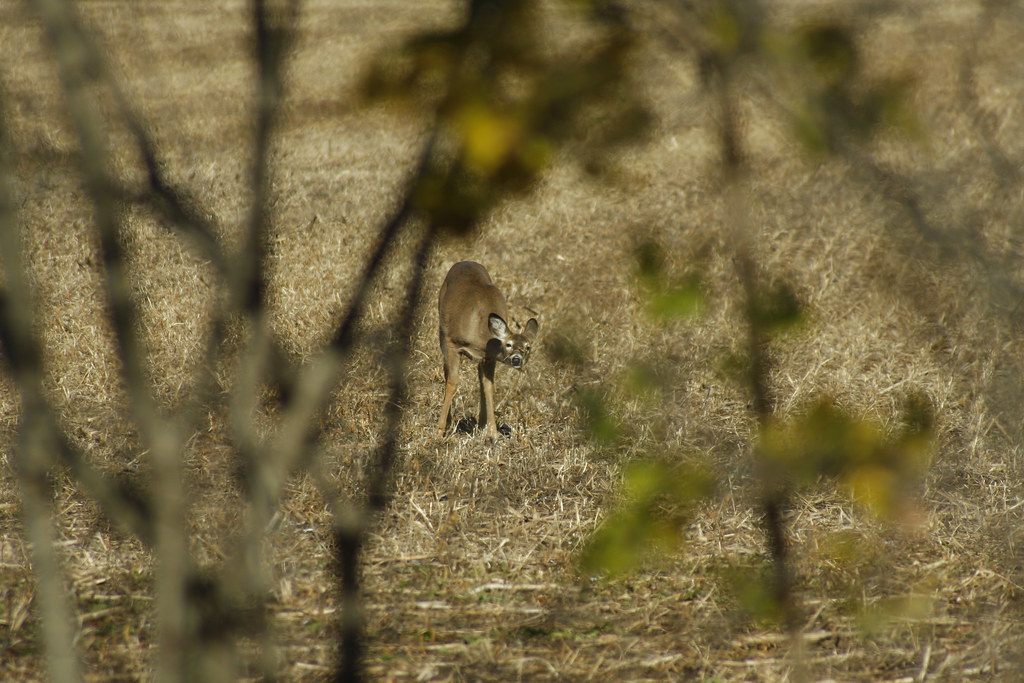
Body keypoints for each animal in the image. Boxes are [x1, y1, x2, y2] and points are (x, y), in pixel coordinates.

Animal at [437, 261, 539, 440]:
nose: (517, 359)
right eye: (508, 344)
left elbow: (489, 387)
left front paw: (492, 433)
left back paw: (482, 423)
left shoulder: (489, 357)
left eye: (528, 347)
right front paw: (439, 429)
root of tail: (463, 262)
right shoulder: (453, 345)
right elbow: (452, 383)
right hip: (442, 331)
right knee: (446, 370)